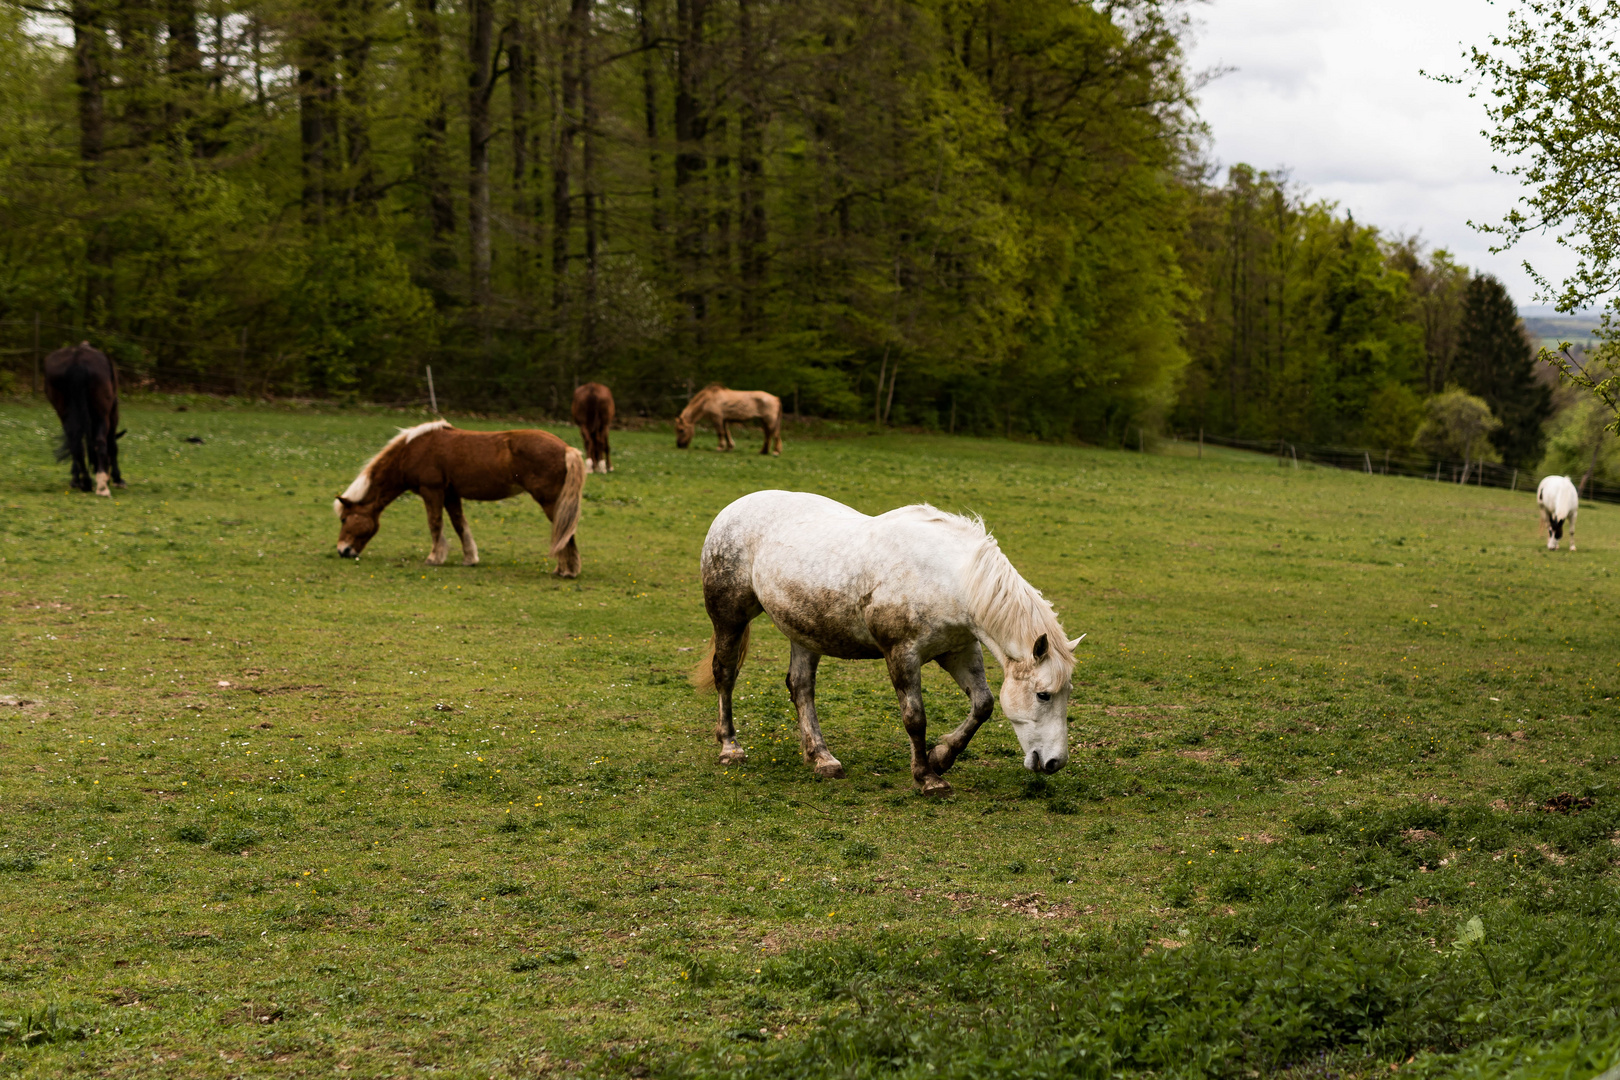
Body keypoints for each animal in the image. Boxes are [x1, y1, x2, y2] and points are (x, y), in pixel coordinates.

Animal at [44, 340, 123, 495]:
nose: (109, 478)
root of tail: (77, 360)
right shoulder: (113, 413)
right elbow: (112, 445)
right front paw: (117, 479)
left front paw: (75, 479)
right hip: (102, 414)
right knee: (100, 442)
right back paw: (102, 487)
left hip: (63, 412)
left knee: (75, 443)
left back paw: (85, 481)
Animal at [332, 420, 586, 579]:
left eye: (344, 519)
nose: (343, 551)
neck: (411, 450)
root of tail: (567, 448)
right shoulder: (451, 495)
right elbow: (459, 525)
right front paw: (469, 558)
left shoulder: (432, 491)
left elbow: (435, 524)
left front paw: (434, 557)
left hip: (551, 502)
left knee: (565, 532)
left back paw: (567, 571)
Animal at [693, 488, 1082, 793]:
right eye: (1043, 695)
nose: (1055, 763)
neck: (949, 578)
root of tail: (733, 508)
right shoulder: (901, 654)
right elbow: (915, 717)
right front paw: (927, 777)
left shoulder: (958, 650)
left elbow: (983, 705)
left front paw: (941, 757)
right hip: (729, 618)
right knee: (725, 675)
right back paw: (730, 747)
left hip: (802, 631)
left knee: (801, 687)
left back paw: (821, 758)